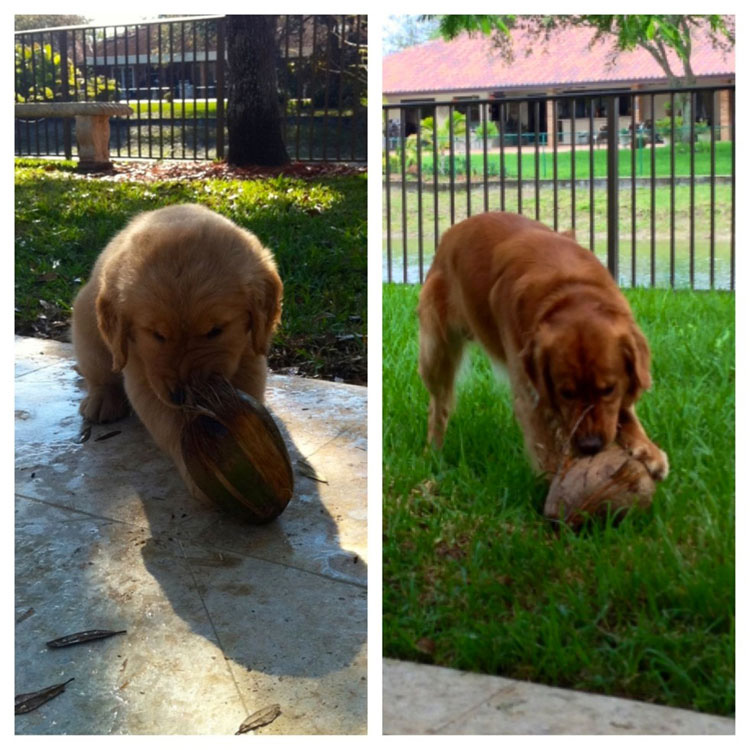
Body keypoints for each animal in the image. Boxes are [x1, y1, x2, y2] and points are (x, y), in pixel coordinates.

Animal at [72, 203, 284, 494]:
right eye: (157, 334)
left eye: (215, 330)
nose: (183, 396)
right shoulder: (142, 372)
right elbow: (169, 423)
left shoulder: (250, 352)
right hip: (88, 327)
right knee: (99, 372)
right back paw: (102, 399)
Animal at [420, 212, 672, 482]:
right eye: (565, 393)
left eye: (608, 389)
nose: (590, 446)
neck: (569, 290)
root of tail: (451, 232)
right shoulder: (530, 393)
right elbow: (545, 445)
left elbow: (624, 410)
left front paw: (647, 448)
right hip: (435, 353)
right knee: (438, 406)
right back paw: (432, 453)